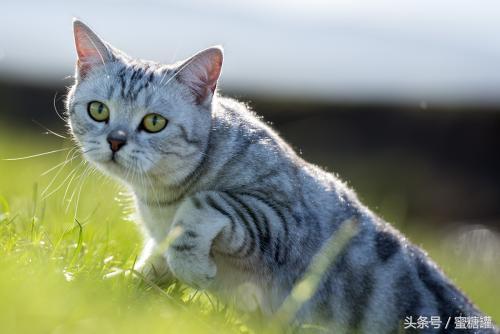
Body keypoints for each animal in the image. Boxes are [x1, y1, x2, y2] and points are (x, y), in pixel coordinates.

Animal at [65, 19, 496, 332]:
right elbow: (153, 265)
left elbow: (204, 202)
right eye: (99, 111)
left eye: (154, 122)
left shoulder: (284, 221)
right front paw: (110, 287)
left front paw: (194, 268)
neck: (159, 197)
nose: (115, 140)